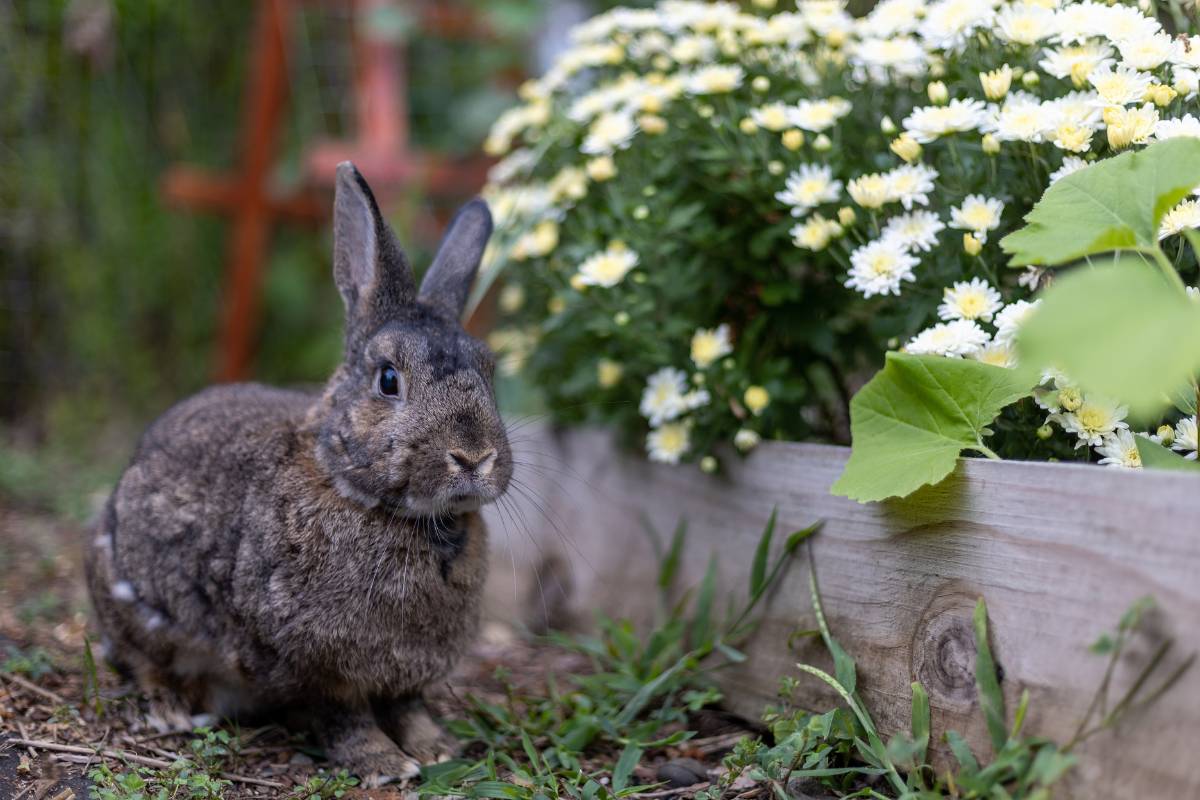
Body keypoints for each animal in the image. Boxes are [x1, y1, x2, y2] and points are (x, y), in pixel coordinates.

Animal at [84, 162, 512, 785]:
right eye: (388, 379)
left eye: (488, 371)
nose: (474, 456)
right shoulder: (314, 666)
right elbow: (345, 718)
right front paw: (386, 764)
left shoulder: (407, 674)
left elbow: (408, 706)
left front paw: (436, 749)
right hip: (125, 599)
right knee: (144, 663)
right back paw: (169, 710)